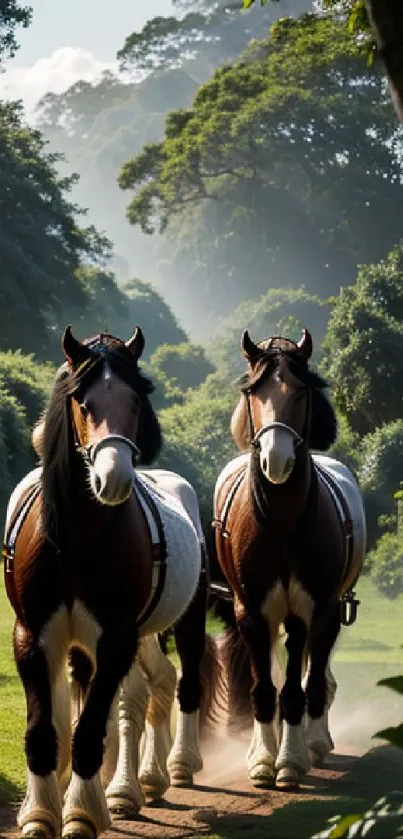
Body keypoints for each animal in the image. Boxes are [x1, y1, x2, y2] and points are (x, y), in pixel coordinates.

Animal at [2, 326, 221, 839]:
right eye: (82, 401)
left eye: (136, 399)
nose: (113, 477)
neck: (76, 539)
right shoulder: (33, 636)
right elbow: (45, 730)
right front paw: (40, 814)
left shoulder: (117, 638)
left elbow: (91, 728)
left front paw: (82, 813)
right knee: (150, 686)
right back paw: (132, 783)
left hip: (184, 620)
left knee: (179, 685)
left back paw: (167, 770)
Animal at [213, 332, 368, 792]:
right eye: (253, 392)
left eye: (300, 391)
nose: (275, 459)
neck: (281, 520)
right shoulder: (251, 611)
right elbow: (265, 687)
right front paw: (264, 761)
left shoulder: (310, 607)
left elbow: (301, 685)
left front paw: (292, 759)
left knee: (315, 677)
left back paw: (315, 741)